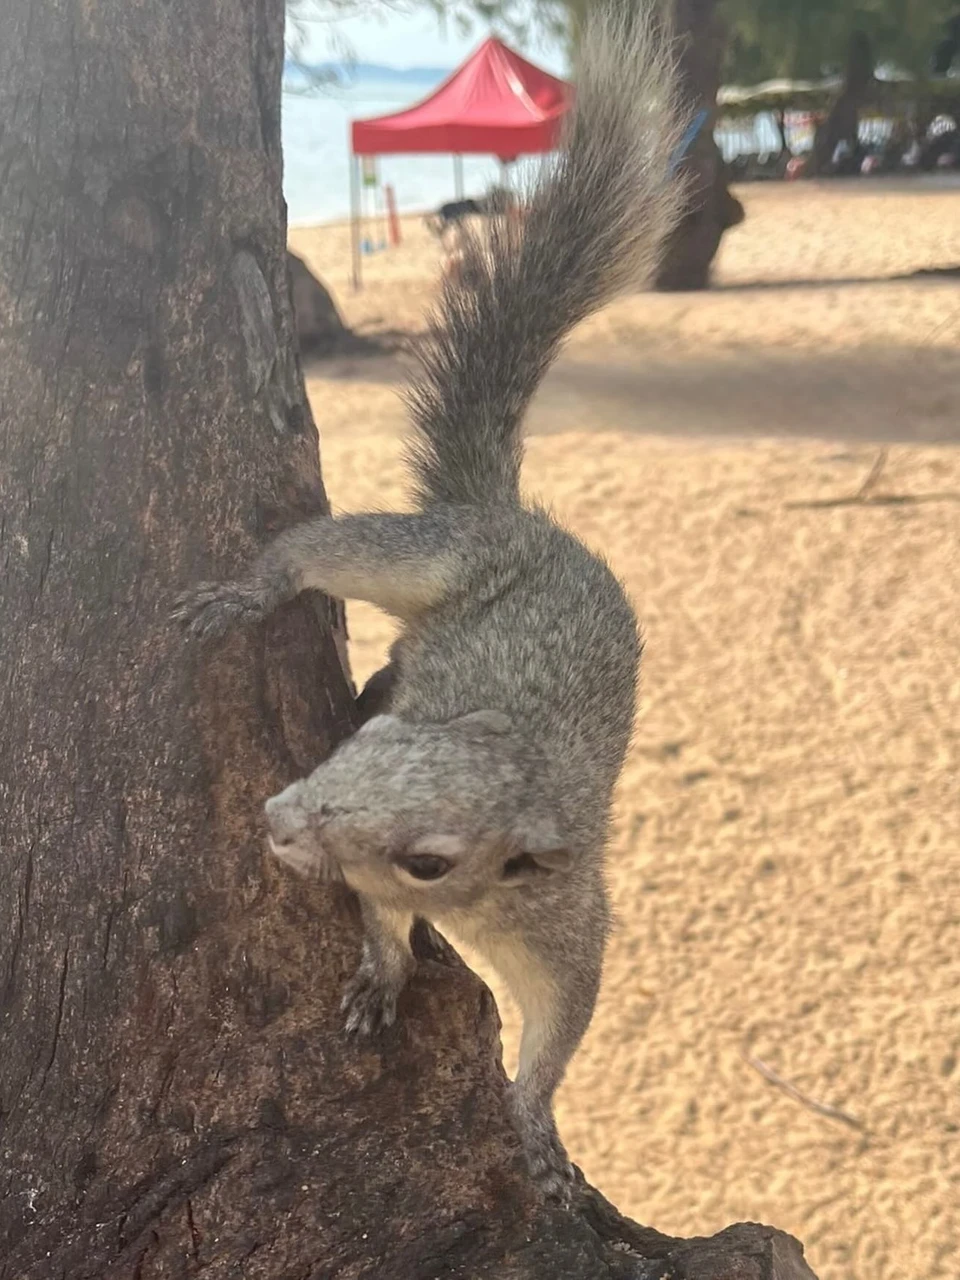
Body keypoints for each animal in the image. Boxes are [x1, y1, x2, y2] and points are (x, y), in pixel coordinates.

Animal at [173, 2, 682, 1204]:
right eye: (375, 747)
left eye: (433, 857)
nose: (279, 818)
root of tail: (521, 519)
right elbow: (378, 926)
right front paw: (381, 972)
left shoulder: (567, 919)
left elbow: (561, 1025)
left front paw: (538, 1130)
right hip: (434, 559)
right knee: (319, 554)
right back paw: (251, 592)